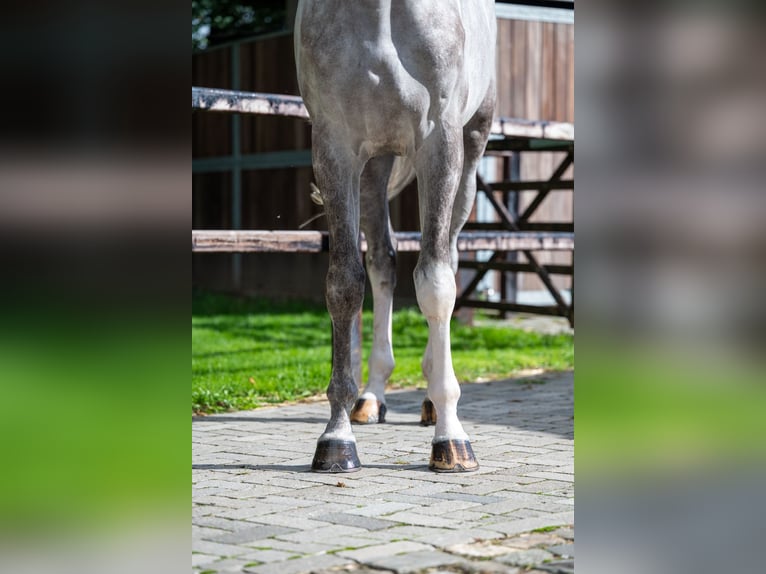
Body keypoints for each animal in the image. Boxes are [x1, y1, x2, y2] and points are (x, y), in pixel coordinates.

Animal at [294, 0, 498, 472]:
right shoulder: (336, 147)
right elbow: (345, 286)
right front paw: (336, 437)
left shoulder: (440, 142)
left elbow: (435, 284)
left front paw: (452, 438)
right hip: (375, 165)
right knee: (382, 263)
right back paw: (372, 396)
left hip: (470, 150)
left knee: (447, 258)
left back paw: (430, 402)